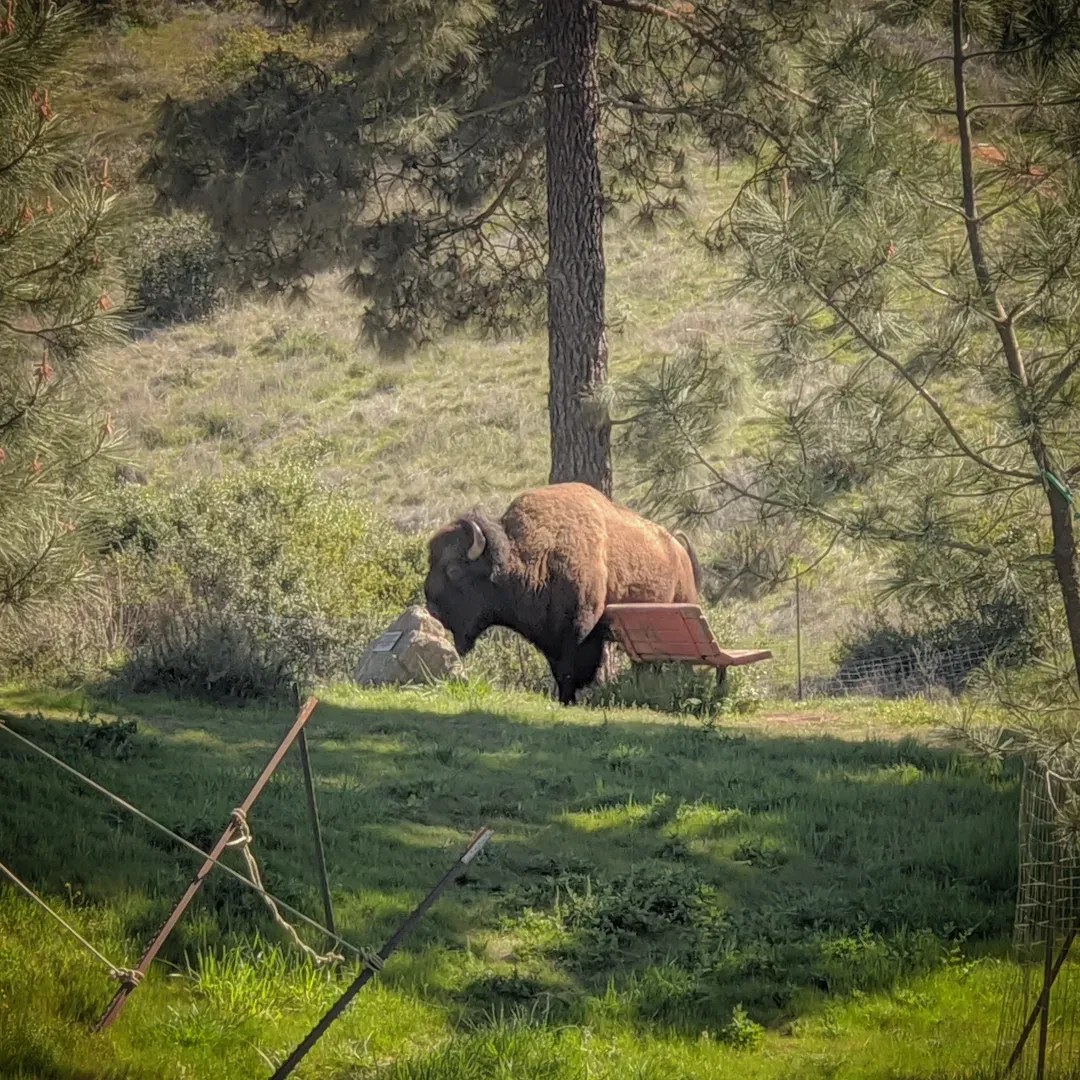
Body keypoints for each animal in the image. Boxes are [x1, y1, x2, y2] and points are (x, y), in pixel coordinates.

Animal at [421, 483, 699, 704]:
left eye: (454, 569)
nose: (432, 610)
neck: (536, 551)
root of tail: (678, 548)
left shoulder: (580, 631)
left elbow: (569, 671)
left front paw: (569, 700)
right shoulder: (551, 637)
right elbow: (559, 671)